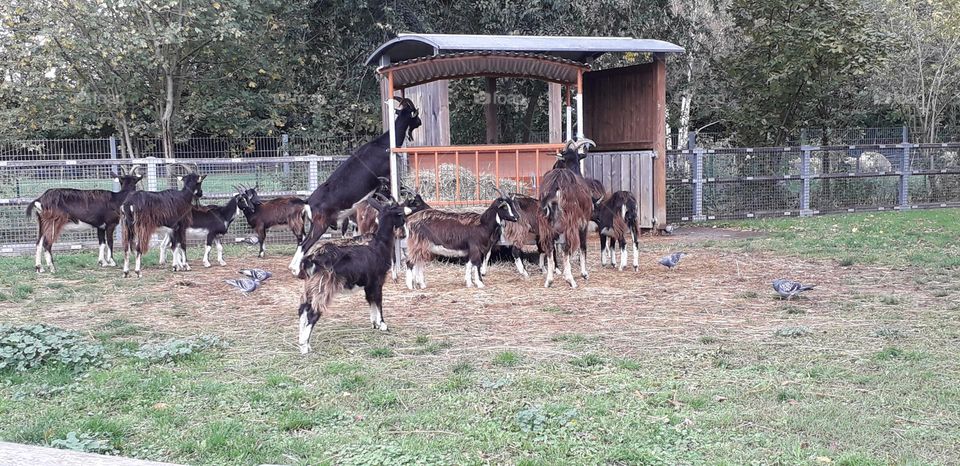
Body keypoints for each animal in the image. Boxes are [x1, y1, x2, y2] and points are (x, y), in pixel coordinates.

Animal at [289, 97, 422, 276]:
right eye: (415, 114)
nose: (420, 122)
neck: (384, 144)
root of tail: (308, 202)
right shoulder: (387, 180)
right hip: (320, 225)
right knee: (304, 244)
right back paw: (296, 269)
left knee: (301, 243)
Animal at [297, 198, 407, 354]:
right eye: (400, 216)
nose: (403, 234)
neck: (379, 244)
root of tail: (311, 259)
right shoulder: (377, 280)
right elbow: (378, 300)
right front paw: (383, 325)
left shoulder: (368, 283)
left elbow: (370, 300)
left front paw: (374, 324)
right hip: (323, 286)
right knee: (313, 312)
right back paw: (305, 347)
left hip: (310, 286)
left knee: (303, 309)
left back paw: (304, 342)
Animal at [539, 139, 596, 288]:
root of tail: (556, 183)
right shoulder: (583, 222)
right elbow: (582, 246)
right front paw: (584, 273)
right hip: (568, 221)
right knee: (566, 246)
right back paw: (570, 279)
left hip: (546, 221)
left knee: (549, 245)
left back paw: (549, 280)